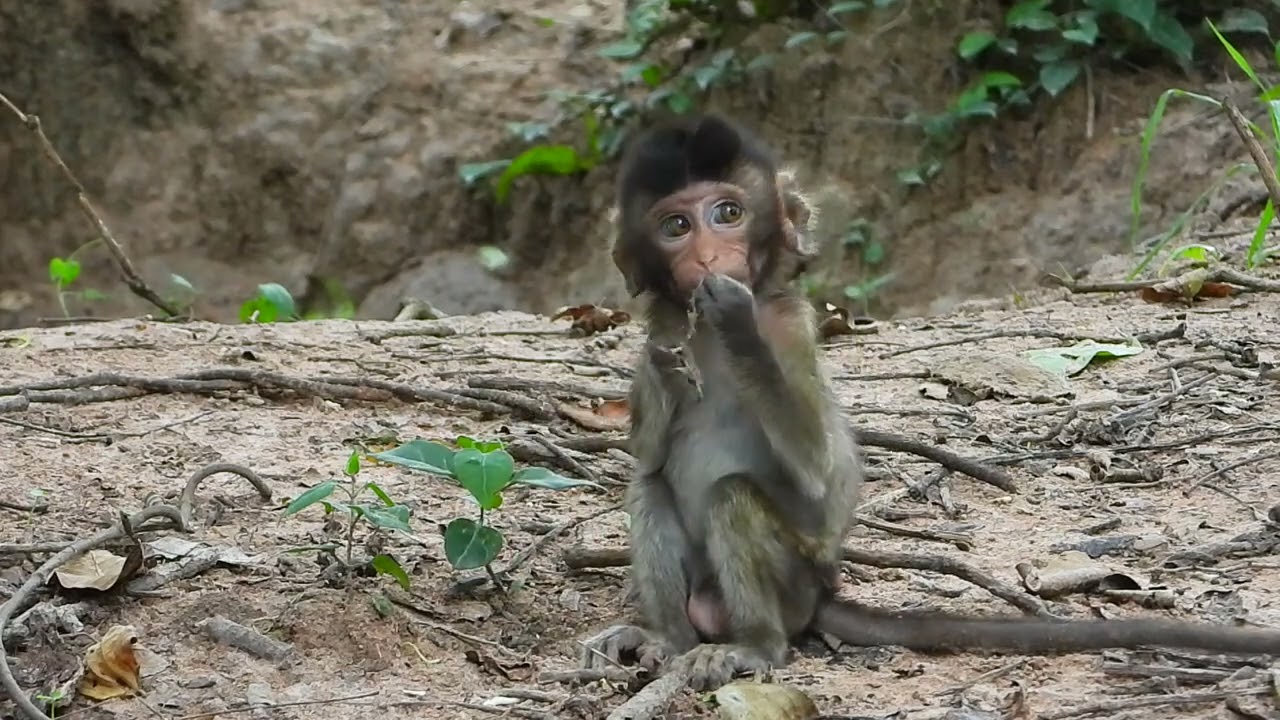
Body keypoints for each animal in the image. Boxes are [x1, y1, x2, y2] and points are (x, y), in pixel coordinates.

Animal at [578, 112, 1280, 692]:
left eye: (727, 213)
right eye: (676, 225)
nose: (704, 257)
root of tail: (820, 596)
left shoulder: (792, 330)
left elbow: (818, 473)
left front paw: (736, 321)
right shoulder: (667, 322)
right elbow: (647, 450)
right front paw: (665, 367)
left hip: (794, 588)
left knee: (733, 498)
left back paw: (756, 647)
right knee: (650, 486)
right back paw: (667, 639)